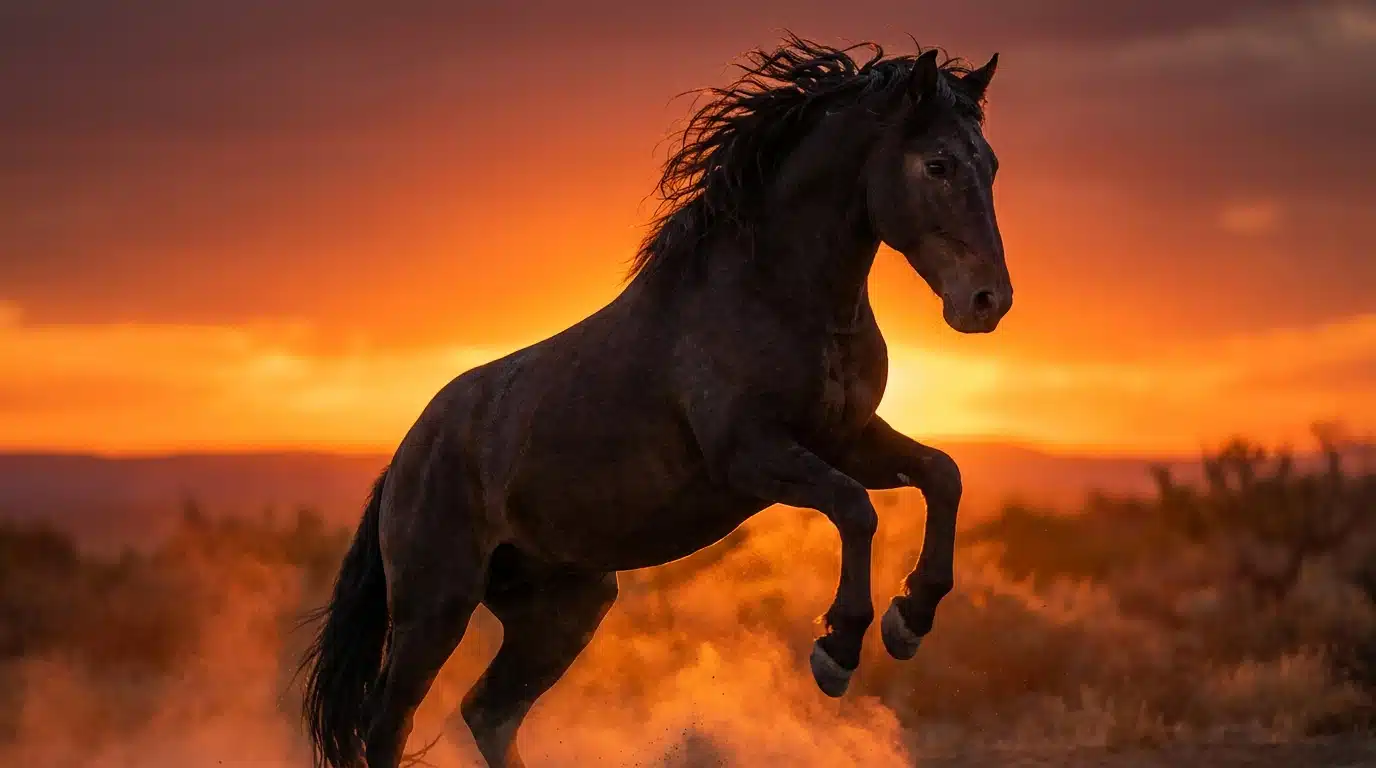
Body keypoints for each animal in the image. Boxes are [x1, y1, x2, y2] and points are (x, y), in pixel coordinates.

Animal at [300, 36, 1011, 768]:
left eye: (989, 164)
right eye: (938, 164)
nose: (987, 301)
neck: (772, 295)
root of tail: (402, 461)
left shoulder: (848, 438)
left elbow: (942, 474)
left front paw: (910, 619)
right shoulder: (753, 457)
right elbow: (856, 509)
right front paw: (838, 650)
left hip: (563, 607)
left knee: (489, 711)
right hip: (434, 606)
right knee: (389, 724)